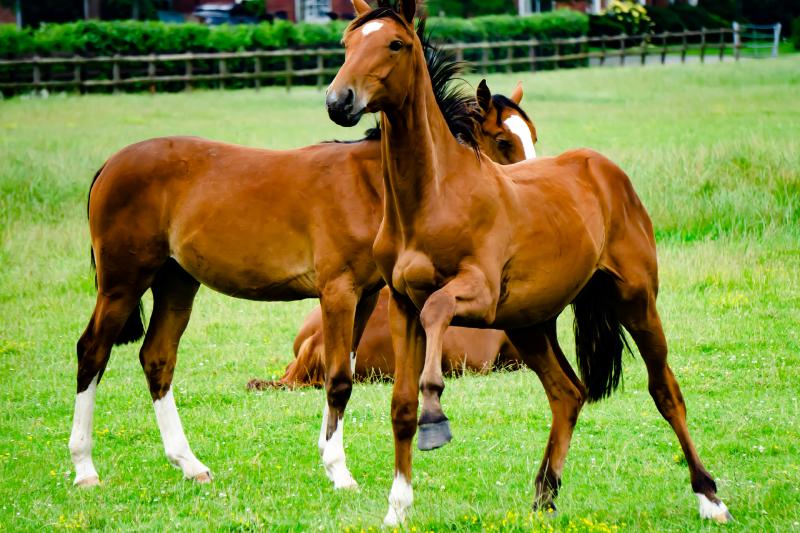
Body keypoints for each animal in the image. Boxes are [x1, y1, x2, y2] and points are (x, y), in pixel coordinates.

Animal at [326, 0, 731, 525]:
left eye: (394, 43)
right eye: (348, 43)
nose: (339, 101)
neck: (434, 197)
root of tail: (606, 171)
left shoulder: (476, 294)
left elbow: (438, 311)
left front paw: (436, 414)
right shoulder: (401, 305)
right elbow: (400, 407)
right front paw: (397, 508)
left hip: (636, 301)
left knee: (665, 390)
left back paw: (709, 497)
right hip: (529, 324)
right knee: (567, 393)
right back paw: (544, 495)